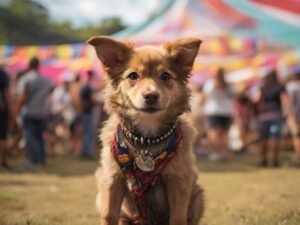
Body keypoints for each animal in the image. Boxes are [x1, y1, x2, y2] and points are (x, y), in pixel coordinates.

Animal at [88, 36, 205, 224]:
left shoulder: (179, 180)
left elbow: (178, 218)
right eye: (133, 76)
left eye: (165, 76)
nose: (151, 95)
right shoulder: (112, 179)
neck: (147, 140)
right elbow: (109, 215)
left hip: (198, 195)